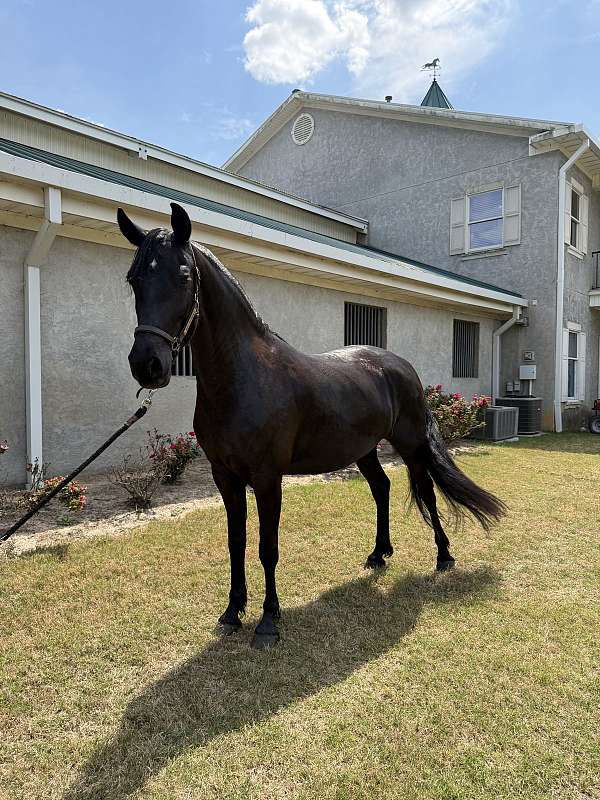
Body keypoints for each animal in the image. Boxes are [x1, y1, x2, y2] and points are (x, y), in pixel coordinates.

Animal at [117, 202, 505, 649]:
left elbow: (267, 547)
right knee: (381, 488)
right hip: (364, 450)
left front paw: (269, 621)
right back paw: (379, 554)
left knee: (424, 490)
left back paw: (443, 556)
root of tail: (399, 365)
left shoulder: (267, 477)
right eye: (134, 279)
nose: (148, 364)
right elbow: (236, 542)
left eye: (183, 275)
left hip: (409, 445)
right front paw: (232, 612)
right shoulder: (224, 476)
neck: (244, 378)